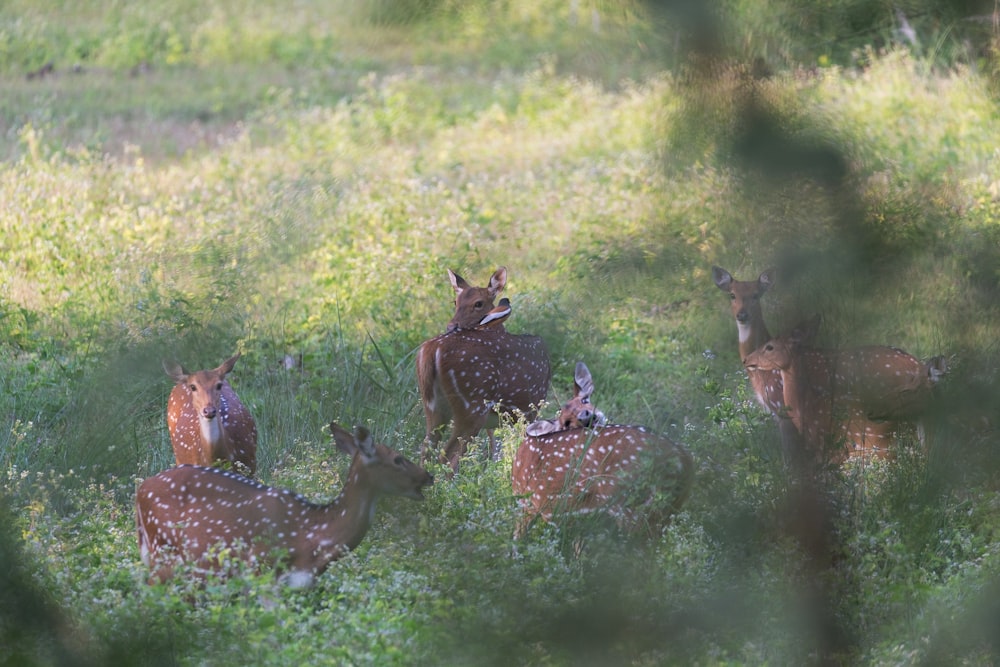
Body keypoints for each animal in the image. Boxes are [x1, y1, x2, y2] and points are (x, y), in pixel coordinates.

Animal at [416, 268, 552, 474]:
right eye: (455, 302)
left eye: (478, 303)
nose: (451, 326)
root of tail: (432, 349)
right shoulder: (531, 407)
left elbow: (494, 449)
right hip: (472, 404)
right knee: (448, 459)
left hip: (433, 406)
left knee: (426, 451)